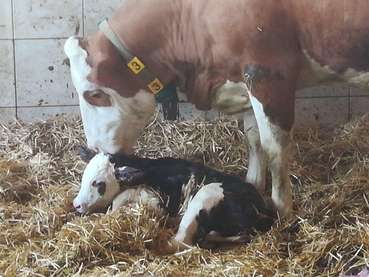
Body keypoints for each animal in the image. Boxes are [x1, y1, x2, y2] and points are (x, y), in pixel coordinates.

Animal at [64, 0, 368, 217]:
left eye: (94, 94)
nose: (94, 148)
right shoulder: (243, 79)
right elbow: (253, 139)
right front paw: (253, 184)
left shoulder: (267, 75)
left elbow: (275, 149)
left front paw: (282, 210)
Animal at [72, 150, 274, 251]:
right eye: (84, 177)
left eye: (98, 183)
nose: (76, 204)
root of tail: (261, 211)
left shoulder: (163, 201)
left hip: (207, 194)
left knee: (181, 241)